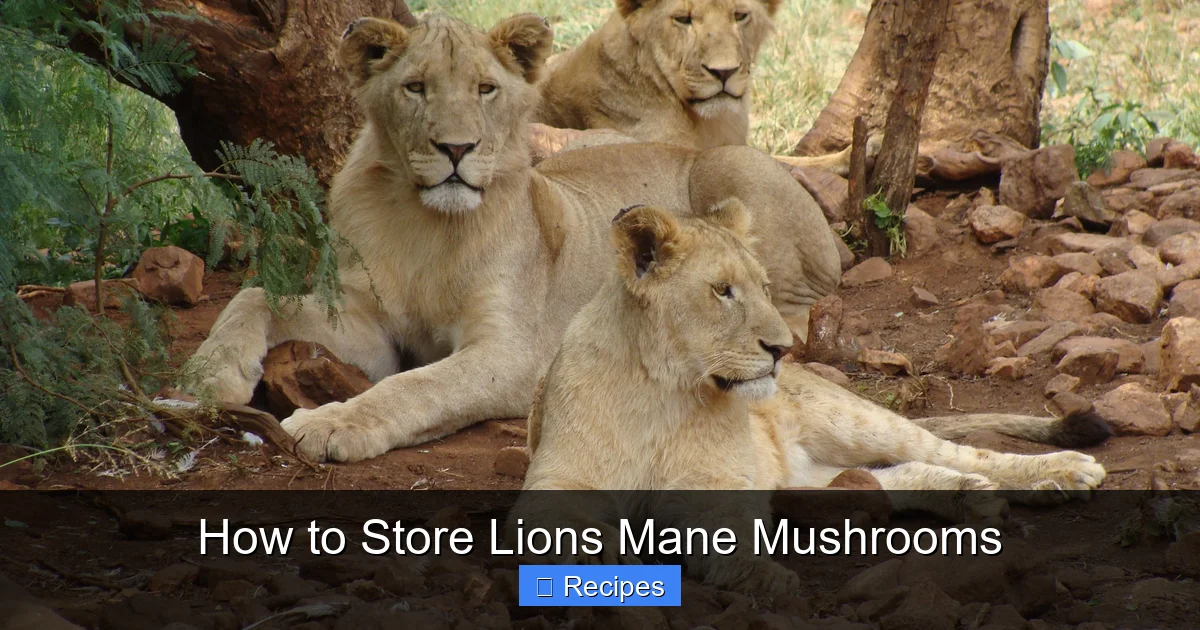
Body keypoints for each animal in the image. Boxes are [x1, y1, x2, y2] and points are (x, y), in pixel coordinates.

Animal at [187, 13, 842, 462]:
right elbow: (254, 297)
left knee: (800, 314)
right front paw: (207, 376)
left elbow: (417, 387)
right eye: (416, 87)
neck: (427, 226)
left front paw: (331, 425)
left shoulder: (512, 354)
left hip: (728, 169)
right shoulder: (366, 327)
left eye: (486, 89)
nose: (456, 149)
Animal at [515, 201, 1109, 594]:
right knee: (889, 476)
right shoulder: (557, 477)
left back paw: (1060, 473)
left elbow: (725, 537)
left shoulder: (714, 485)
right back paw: (971, 495)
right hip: (801, 479)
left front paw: (762, 578)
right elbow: (564, 526)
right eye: (722, 291)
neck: (662, 388)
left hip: (851, 418)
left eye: (763, 287)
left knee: (955, 450)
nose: (782, 348)